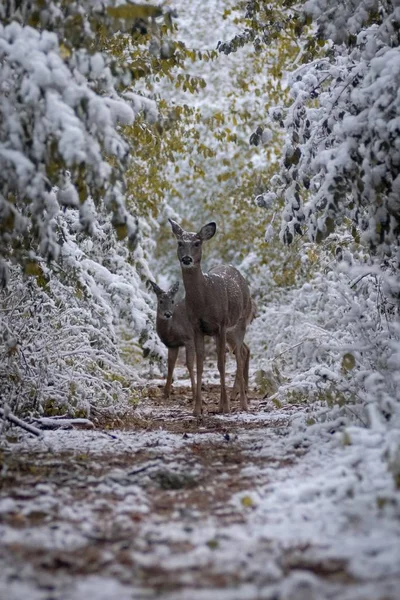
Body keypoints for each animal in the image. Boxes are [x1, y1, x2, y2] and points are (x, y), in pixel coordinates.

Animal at [169, 218, 253, 414]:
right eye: (180, 242)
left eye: (197, 243)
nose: (187, 259)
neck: (204, 299)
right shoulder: (197, 327)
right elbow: (199, 365)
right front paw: (197, 409)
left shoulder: (221, 324)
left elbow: (221, 364)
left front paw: (225, 407)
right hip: (225, 331)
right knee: (241, 352)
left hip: (239, 322)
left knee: (239, 355)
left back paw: (243, 403)